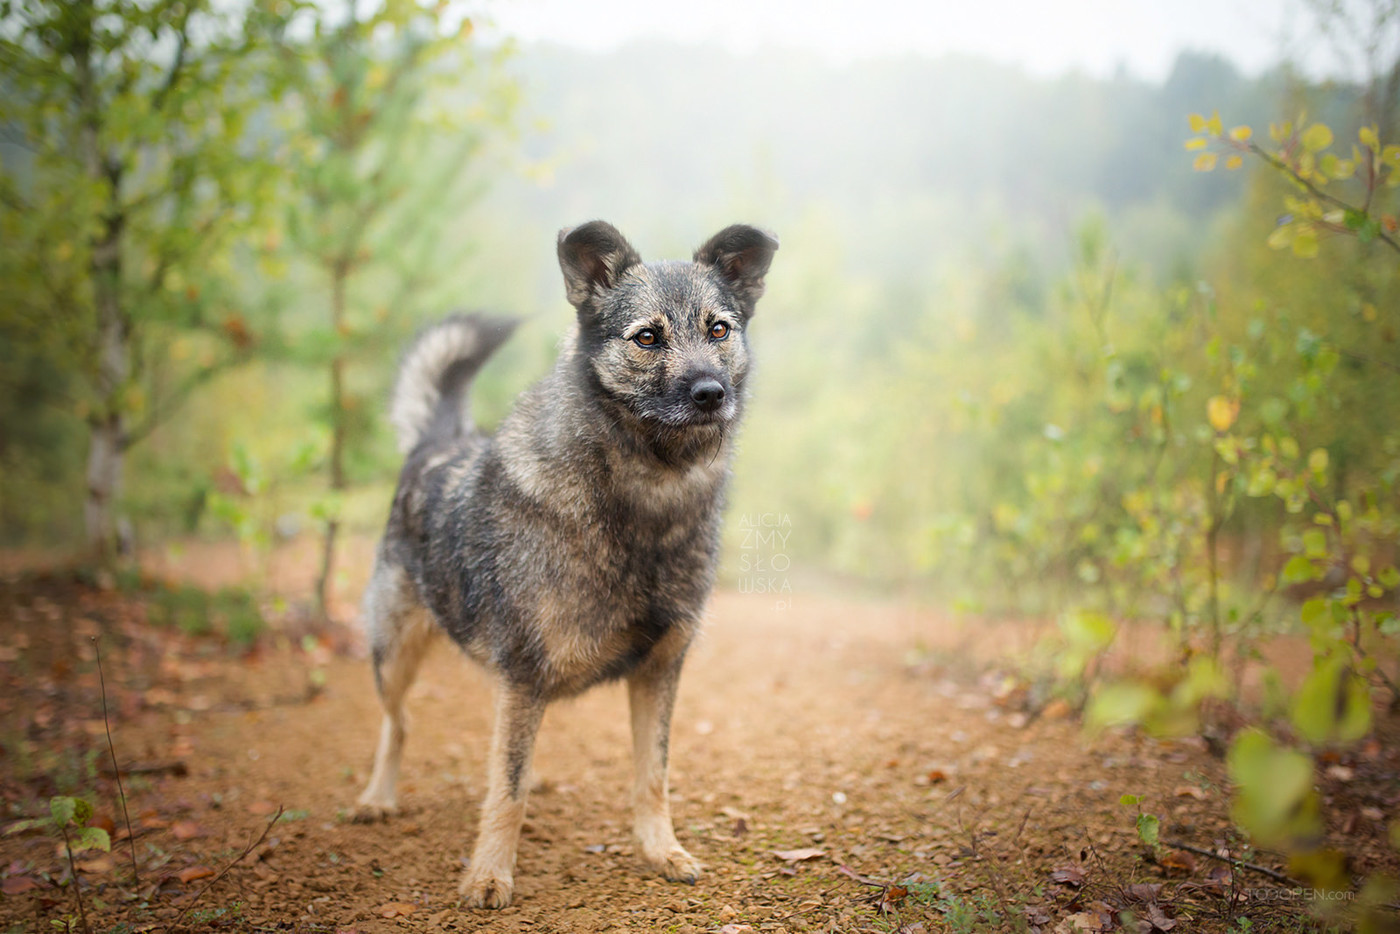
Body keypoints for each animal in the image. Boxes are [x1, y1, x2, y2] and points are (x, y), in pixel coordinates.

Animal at [355, 219, 778, 907]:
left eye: (719, 329)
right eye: (647, 337)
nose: (711, 394)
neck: (644, 500)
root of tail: (437, 442)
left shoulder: (660, 670)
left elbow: (652, 774)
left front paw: (660, 851)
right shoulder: (524, 675)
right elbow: (506, 791)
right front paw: (490, 874)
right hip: (392, 654)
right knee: (400, 723)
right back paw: (377, 798)